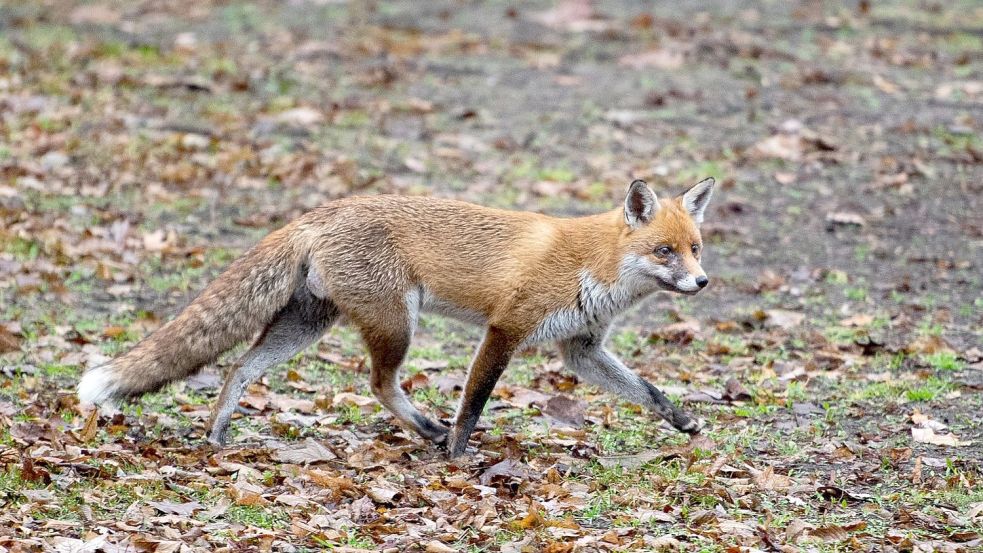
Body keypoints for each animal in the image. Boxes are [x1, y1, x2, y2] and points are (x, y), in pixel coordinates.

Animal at [79, 178, 716, 458]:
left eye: (696, 248)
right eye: (665, 251)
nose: (702, 282)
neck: (593, 265)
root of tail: (323, 211)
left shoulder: (580, 348)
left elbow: (647, 391)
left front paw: (683, 421)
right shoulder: (506, 328)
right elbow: (473, 403)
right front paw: (458, 455)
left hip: (309, 324)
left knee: (240, 367)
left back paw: (217, 433)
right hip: (396, 324)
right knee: (379, 383)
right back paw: (427, 431)